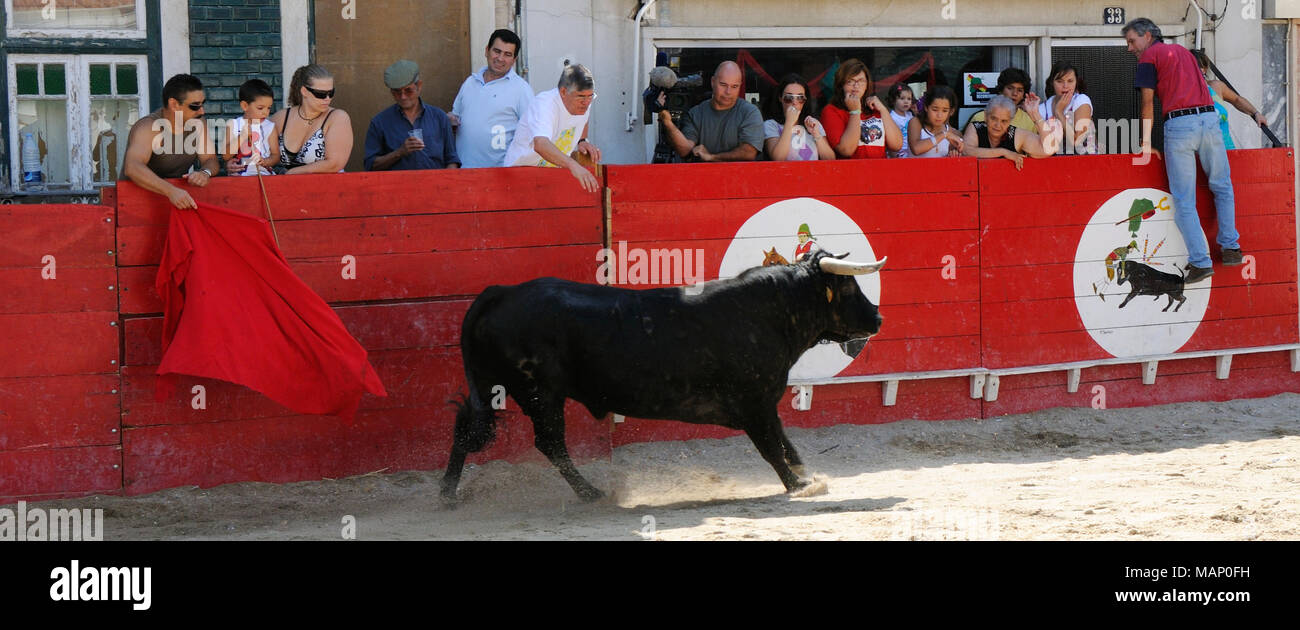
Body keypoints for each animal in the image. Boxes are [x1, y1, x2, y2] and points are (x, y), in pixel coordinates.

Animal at [444, 250, 883, 501]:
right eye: (847, 288)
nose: (877, 318)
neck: (771, 312)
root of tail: (502, 291)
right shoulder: (756, 403)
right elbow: (773, 447)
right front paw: (798, 486)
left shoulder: (764, 405)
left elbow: (787, 445)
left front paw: (806, 476)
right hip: (540, 394)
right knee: (549, 443)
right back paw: (591, 493)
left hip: (492, 387)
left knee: (466, 428)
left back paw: (448, 493)